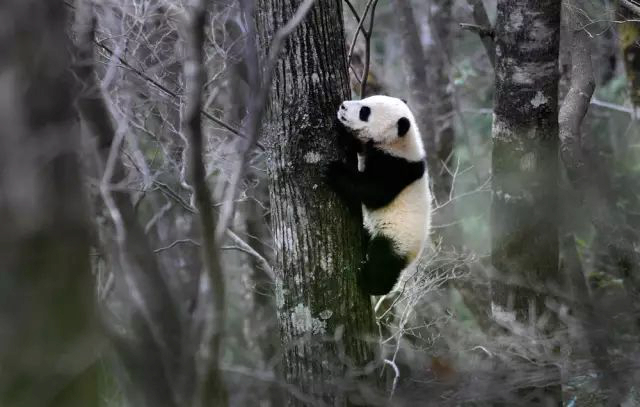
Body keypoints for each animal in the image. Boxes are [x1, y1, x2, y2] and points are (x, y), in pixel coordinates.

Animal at [328, 94, 432, 294]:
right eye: (364, 100)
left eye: (364, 112)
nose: (343, 106)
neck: (400, 142)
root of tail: (413, 257)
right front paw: (346, 135)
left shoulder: (397, 169)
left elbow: (372, 192)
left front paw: (334, 171)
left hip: (397, 238)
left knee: (383, 262)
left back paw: (370, 283)